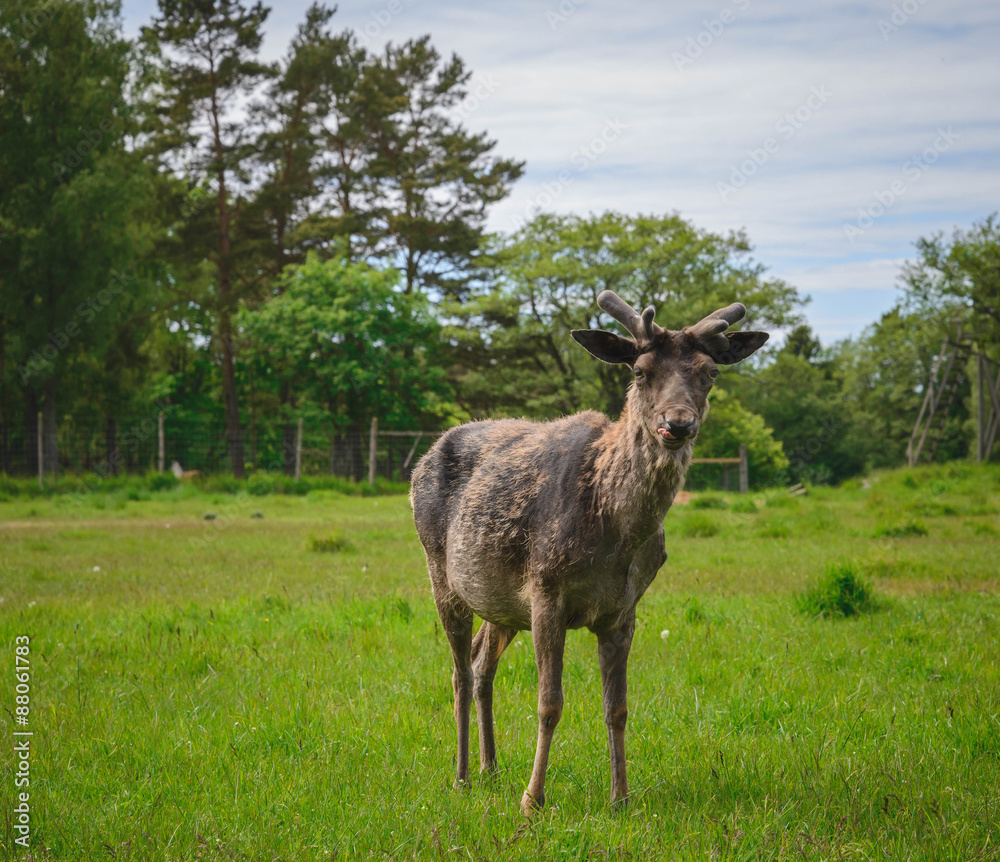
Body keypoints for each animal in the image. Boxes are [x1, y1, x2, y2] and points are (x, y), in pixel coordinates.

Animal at [410, 290, 768, 816]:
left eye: (710, 373)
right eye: (639, 371)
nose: (677, 423)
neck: (616, 536)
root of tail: (423, 457)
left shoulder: (624, 608)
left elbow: (617, 707)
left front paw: (621, 798)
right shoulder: (546, 588)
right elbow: (549, 703)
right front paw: (532, 800)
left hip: (500, 602)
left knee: (480, 664)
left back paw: (491, 766)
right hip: (441, 570)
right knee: (457, 670)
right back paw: (461, 777)